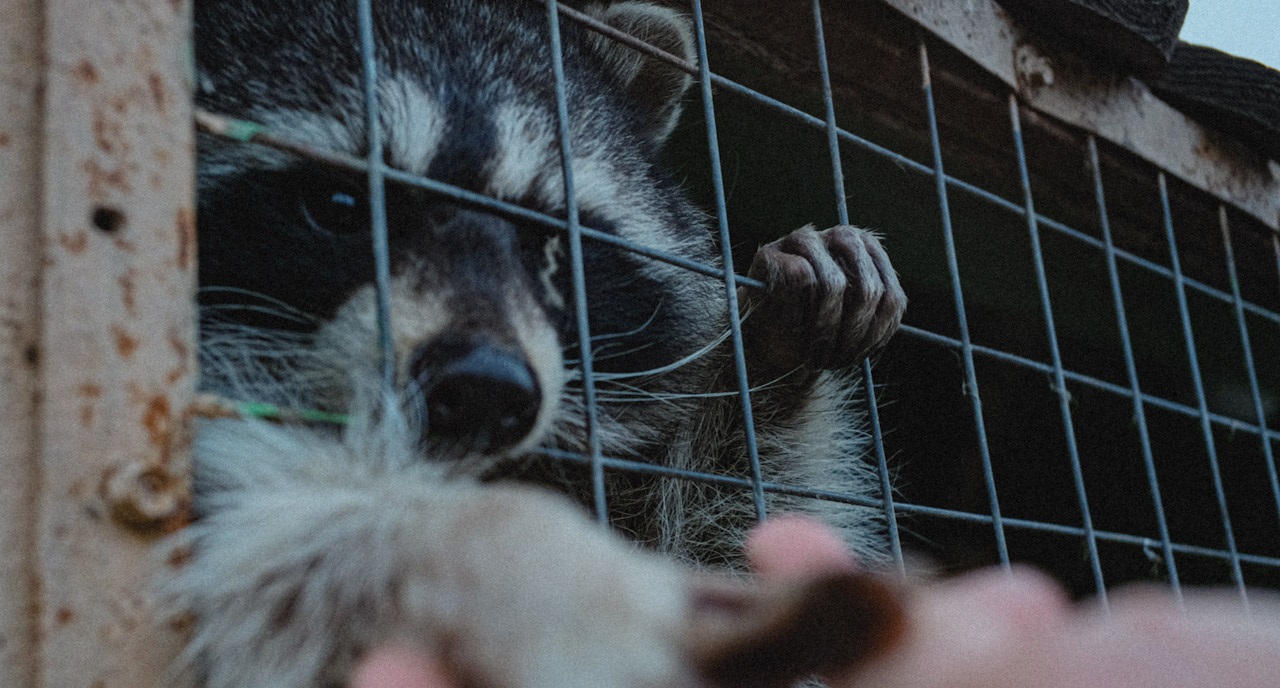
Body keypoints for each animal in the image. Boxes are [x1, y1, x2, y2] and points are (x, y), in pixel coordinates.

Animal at [175, 0, 906, 680]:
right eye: (339, 207)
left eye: (552, 241)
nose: (482, 387)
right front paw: (516, 573)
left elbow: (721, 542)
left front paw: (769, 358)